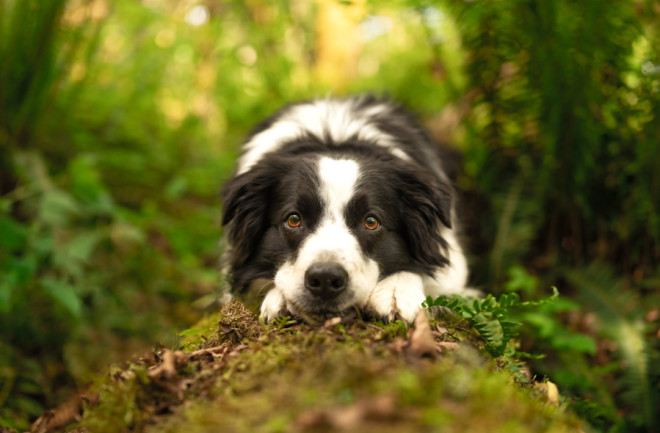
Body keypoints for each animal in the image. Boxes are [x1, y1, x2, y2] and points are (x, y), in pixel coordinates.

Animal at [222, 95, 474, 324]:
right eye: (293, 219)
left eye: (371, 222)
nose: (325, 280)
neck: (334, 142)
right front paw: (280, 298)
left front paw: (395, 292)